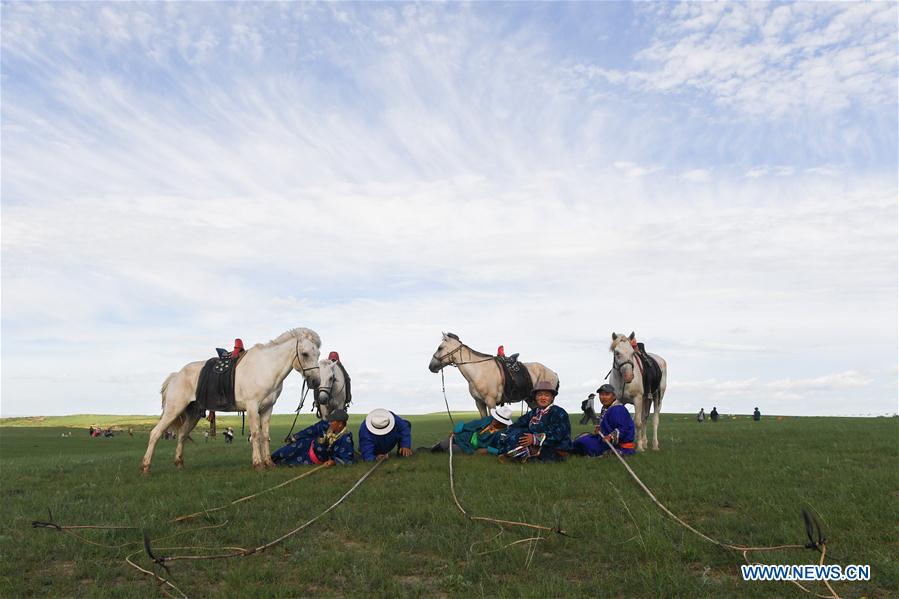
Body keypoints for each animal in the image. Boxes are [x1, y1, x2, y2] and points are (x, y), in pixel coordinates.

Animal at [140, 327, 322, 473]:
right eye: (305, 354)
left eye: (318, 354)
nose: (315, 381)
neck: (266, 367)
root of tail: (176, 376)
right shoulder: (252, 407)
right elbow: (255, 434)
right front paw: (258, 464)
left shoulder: (267, 409)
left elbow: (265, 435)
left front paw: (269, 463)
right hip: (173, 410)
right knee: (155, 433)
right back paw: (146, 467)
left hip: (193, 414)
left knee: (182, 435)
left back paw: (179, 464)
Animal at [428, 332, 560, 418]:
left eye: (440, 348)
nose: (431, 367)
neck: (479, 371)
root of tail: (553, 373)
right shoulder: (479, 403)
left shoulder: (490, 402)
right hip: (531, 400)